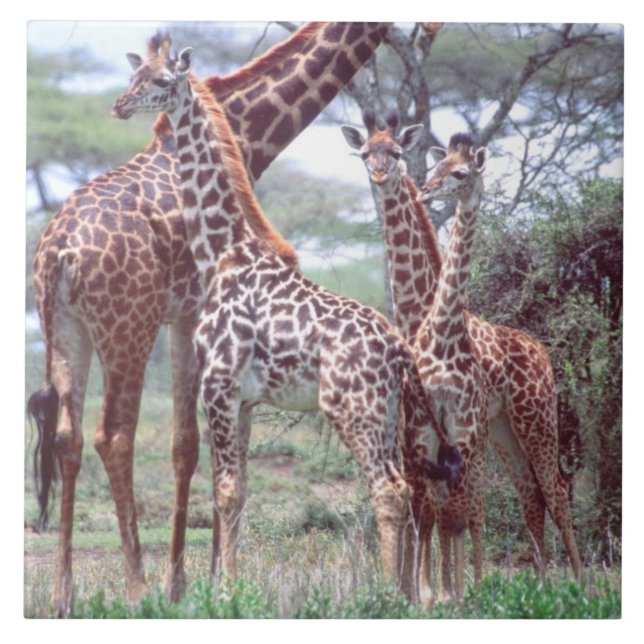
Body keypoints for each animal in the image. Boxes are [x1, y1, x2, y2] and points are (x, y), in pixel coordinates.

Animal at [28, 22, 391, 617]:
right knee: (114, 436)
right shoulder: (193, 318)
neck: (247, 132)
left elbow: (187, 448)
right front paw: (201, 581)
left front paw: (190, 581)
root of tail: (60, 251)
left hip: (63, 328)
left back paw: (64, 595)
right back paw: (136, 588)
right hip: (128, 328)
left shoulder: (185, 322)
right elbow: (199, 450)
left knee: (67, 438)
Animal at [112, 34, 461, 590]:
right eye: (134, 75)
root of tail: (397, 348)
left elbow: (224, 491)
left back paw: (386, 593)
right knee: (408, 489)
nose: (121, 105)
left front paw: (226, 589)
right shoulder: (246, 399)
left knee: (388, 489)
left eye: (162, 80)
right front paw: (227, 584)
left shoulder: (219, 384)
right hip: (390, 413)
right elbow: (238, 492)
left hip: (353, 409)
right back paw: (407, 592)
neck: (224, 252)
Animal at [342, 112, 582, 602]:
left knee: (551, 489)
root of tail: (542, 352)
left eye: (396, 151)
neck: (420, 313)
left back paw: (578, 584)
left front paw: (442, 592)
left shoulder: (453, 434)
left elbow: (452, 510)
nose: (382, 174)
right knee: (528, 494)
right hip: (503, 430)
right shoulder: (416, 432)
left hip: (535, 419)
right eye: (364, 152)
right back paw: (543, 582)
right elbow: (425, 508)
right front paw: (418, 591)